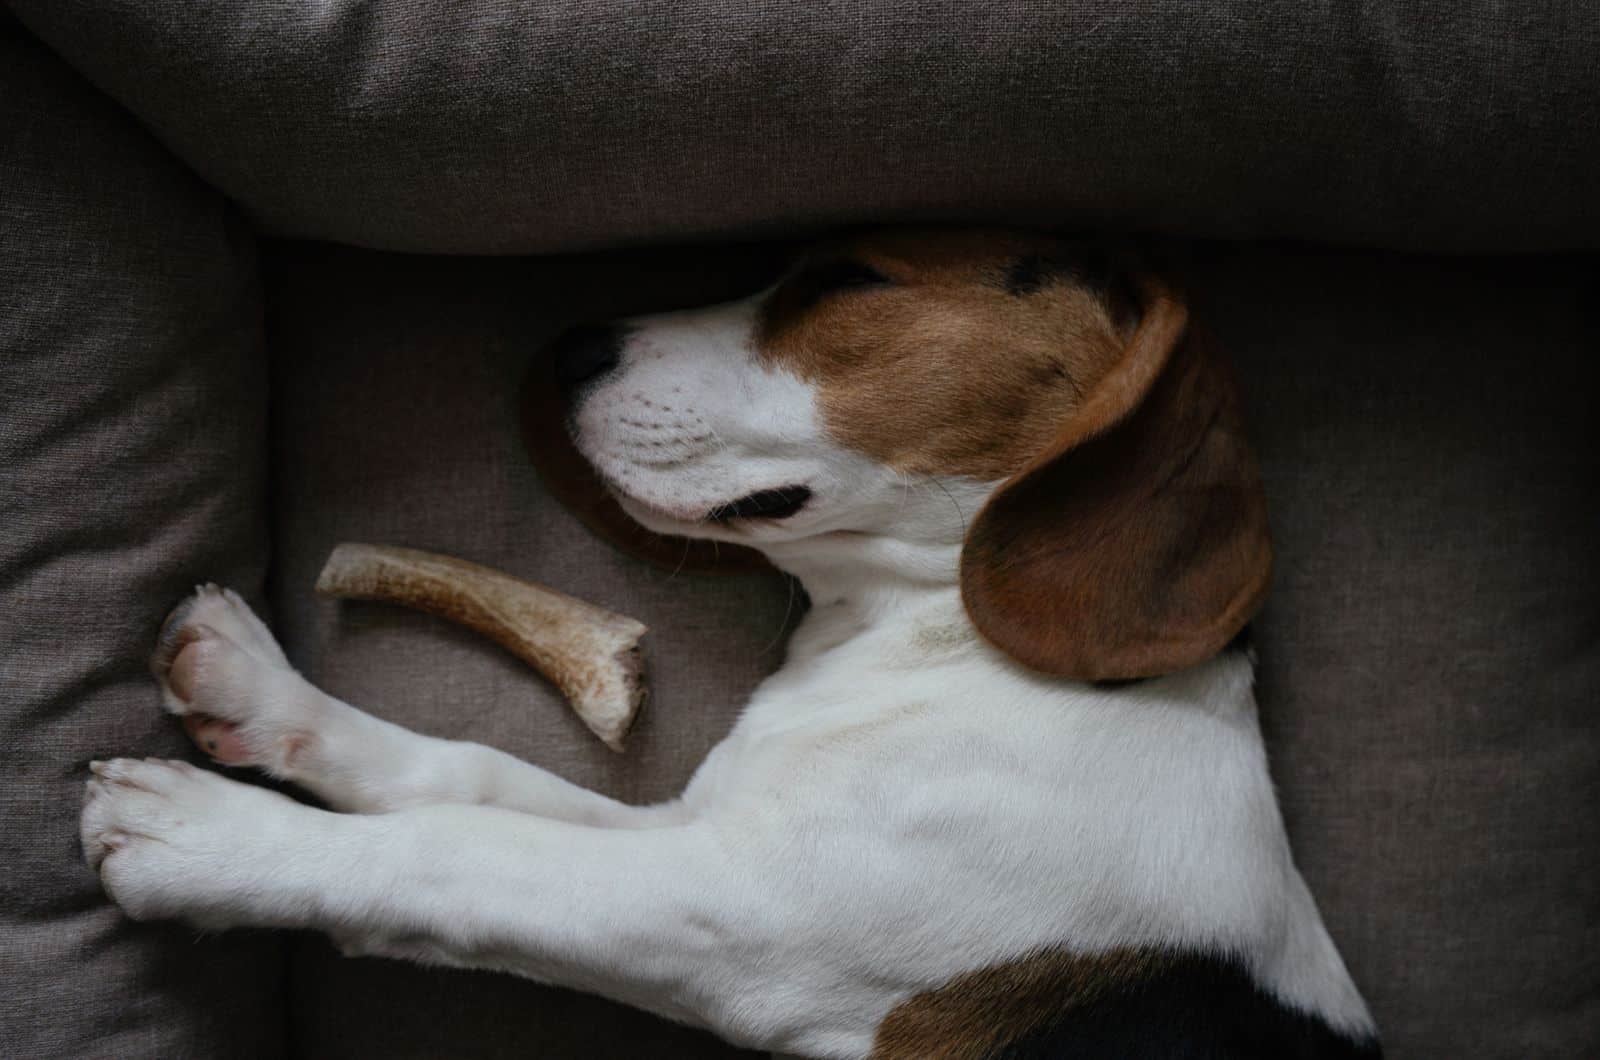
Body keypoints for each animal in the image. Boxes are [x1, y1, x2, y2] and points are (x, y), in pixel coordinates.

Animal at [81, 228, 1376, 1056]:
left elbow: (459, 851)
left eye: (846, 278)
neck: (937, 647)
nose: (569, 345)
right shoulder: (700, 828)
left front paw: (209, 839)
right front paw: (257, 691)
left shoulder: (736, 915)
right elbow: (469, 775)